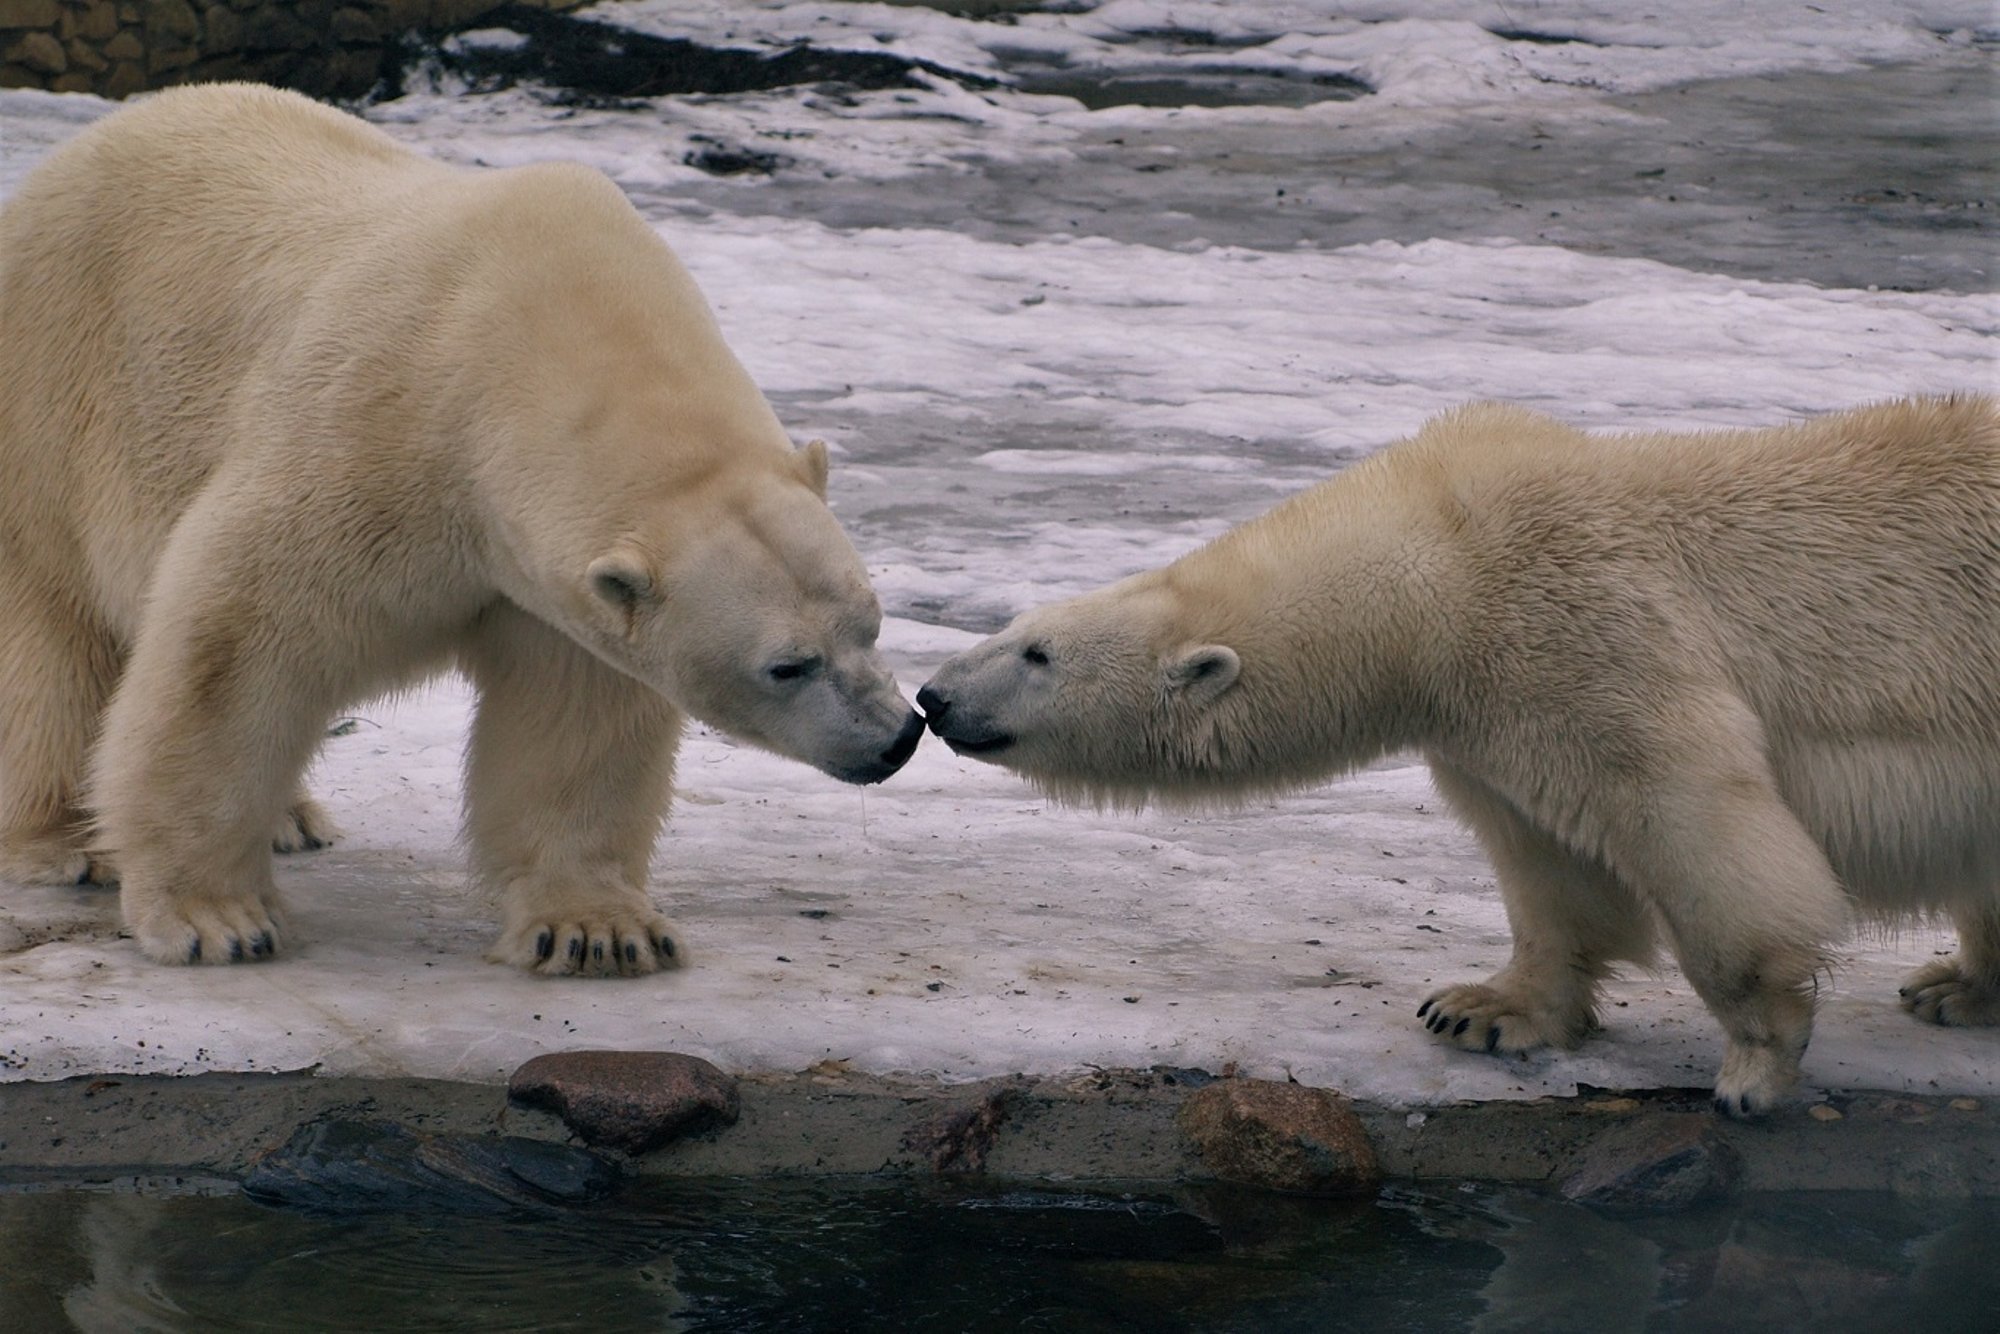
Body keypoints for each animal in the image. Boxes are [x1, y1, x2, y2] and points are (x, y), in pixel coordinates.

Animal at [0, 86, 920, 980]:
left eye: (871, 624)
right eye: (786, 666)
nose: (897, 737)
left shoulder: (550, 584)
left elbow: (572, 719)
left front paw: (597, 930)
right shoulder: (369, 440)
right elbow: (235, 654)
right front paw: (216, 920)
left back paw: (292, 818)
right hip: (57, 404)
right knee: (56, 634)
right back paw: (69, 839)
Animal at [920, 396, 2000, 1120]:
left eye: (1036, 654)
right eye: (1017, 629)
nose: (933, 697)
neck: (1444, 566)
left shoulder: (1590, 631)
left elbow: (1697, 824)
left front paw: (1755, 1065)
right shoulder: (1493, 716)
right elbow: (1547, 866)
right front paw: (1481, 1008)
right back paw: (1955, 984)